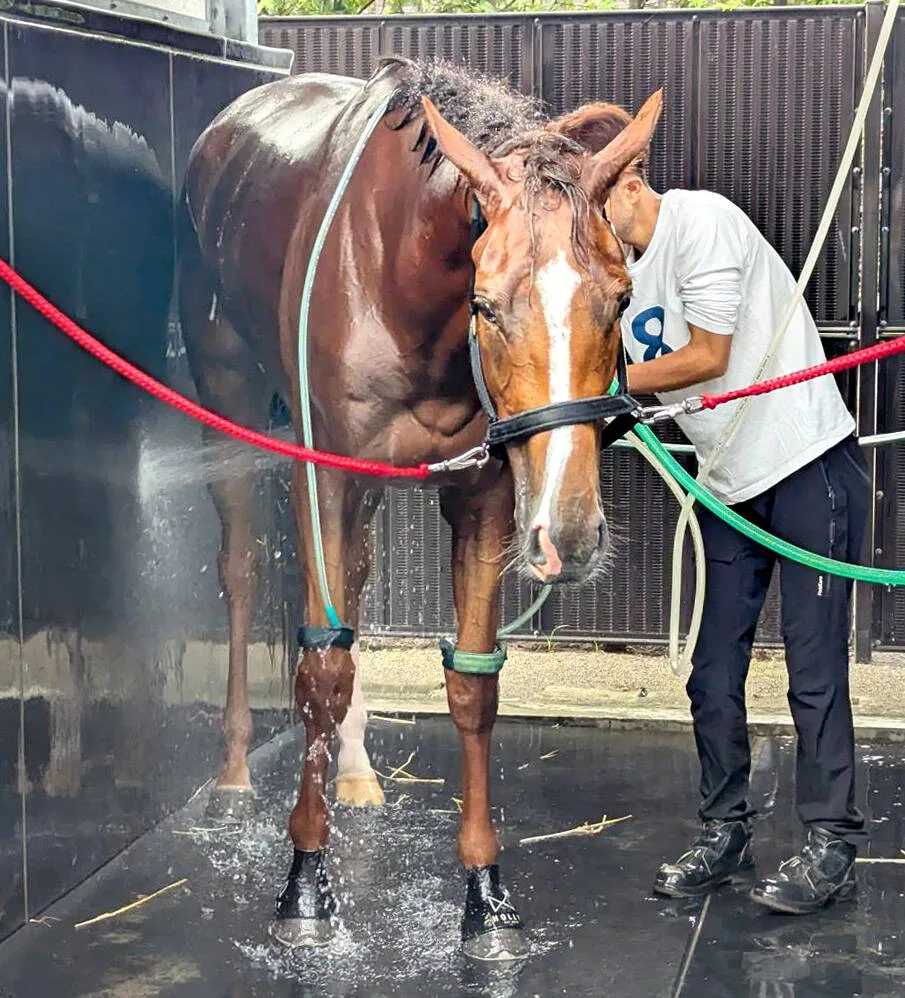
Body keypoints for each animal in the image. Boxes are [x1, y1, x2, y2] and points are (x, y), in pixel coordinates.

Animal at [178, 55, 661, 960]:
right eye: (486, 304)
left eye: (619, 299)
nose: (570, 535)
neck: (400, 274)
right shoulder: (325, 475)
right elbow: (317, 671)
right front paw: (305, 888)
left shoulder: (486, 492)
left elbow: (470, 685)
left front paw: (485, 896)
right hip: (226, 395)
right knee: (243, 571)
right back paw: (230, 774)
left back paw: (357, 771)